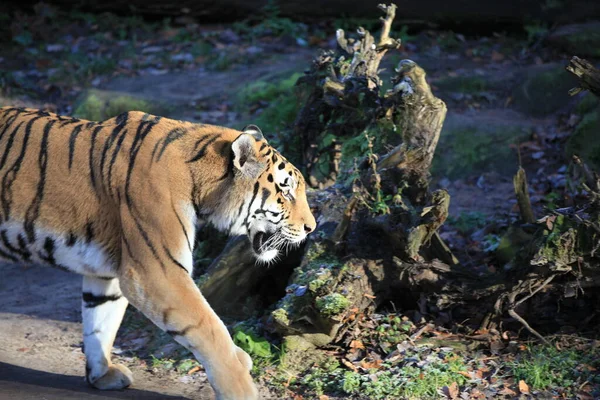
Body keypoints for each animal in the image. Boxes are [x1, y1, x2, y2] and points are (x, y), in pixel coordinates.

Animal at [0, 106, 318, 400]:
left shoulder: (108, 269)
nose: (311, 228)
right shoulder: (156, 272)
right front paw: (241, 388)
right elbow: (210, 329)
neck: (201, 183)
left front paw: (102, 374)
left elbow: (100, 320)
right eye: (286, 192)